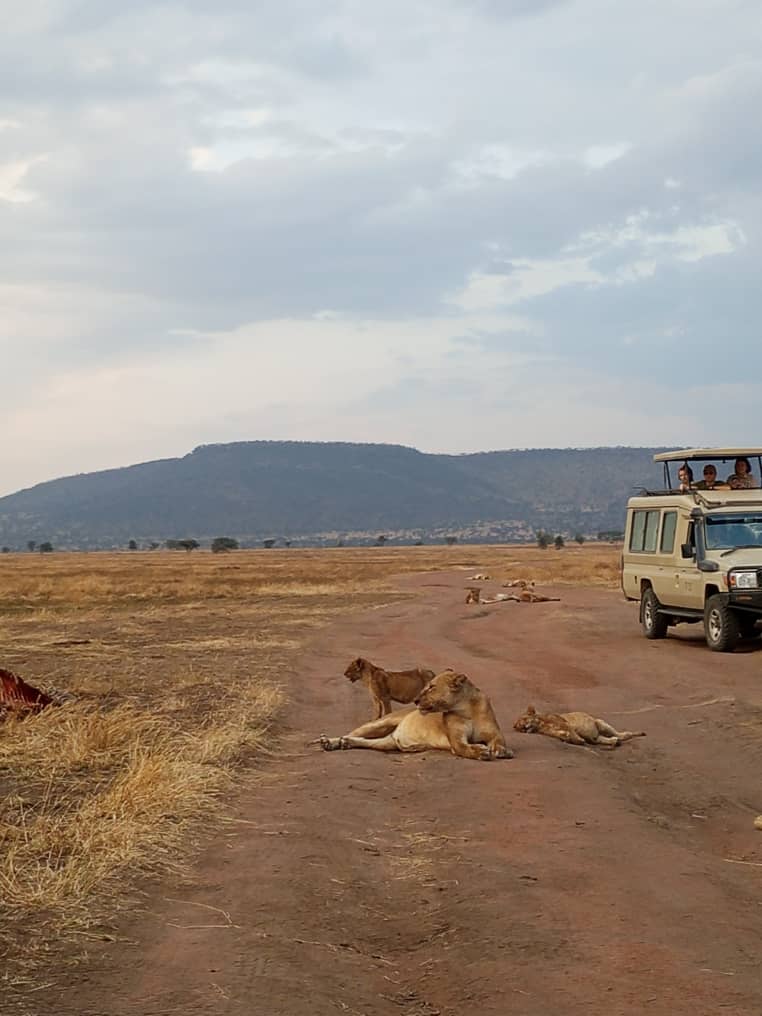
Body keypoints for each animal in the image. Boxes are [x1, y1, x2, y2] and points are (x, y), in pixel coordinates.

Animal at [321, 670, 514, 761]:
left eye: (431, 687)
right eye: (427, 685)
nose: (416, 700)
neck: (467, 709)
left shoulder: (495, 734)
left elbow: (499, 742)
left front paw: (501, 751)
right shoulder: (455, 740)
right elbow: (463, 748)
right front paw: (481, 751)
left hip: (387, 743)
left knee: (364, 741)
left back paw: (345, 743)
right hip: (381, 723)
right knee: (351, 733)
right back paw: (329, 742)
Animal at [513, 704, 646, 747]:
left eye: (525, 720)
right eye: (520, 727)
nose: (524, 728)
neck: (540, 725)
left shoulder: (566, 724)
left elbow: (572, 733)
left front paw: (578, 740)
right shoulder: (556, 732)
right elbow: (563, 735)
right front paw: (571, 740)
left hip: (601, 724)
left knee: (623, 735)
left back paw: (638, 734)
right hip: (597, 738)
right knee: (605, 740)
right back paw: (614, 742)